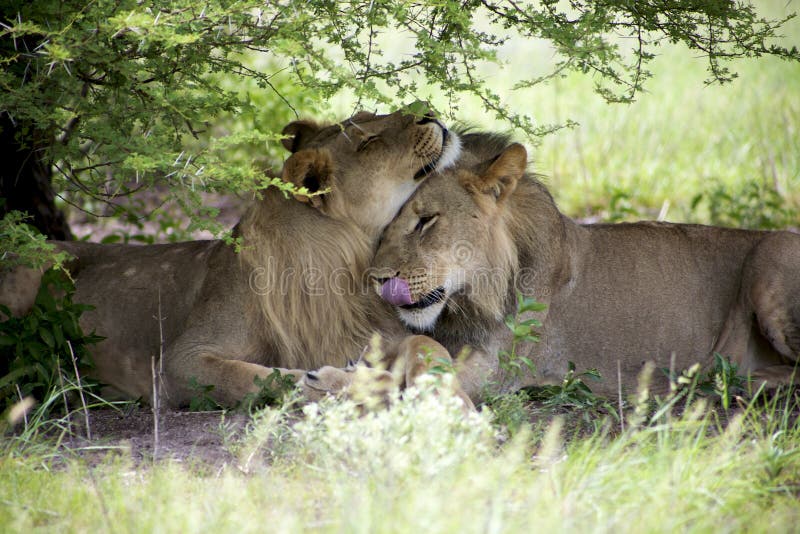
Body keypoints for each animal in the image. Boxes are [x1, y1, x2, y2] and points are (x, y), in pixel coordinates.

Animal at [1, 107, 462, 408]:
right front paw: (347, 383)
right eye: (369, 141)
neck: (341, 265)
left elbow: (430, 344)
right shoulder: (177, 364)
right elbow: (258, 377)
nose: (429, 113)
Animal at [366, 134, 796, 402]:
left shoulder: (498, 368)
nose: (377, 280)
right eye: (384, 225)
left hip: (773, 253)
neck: (470, 298)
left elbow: (430, 361)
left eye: (426, 221)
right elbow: (415, 345)